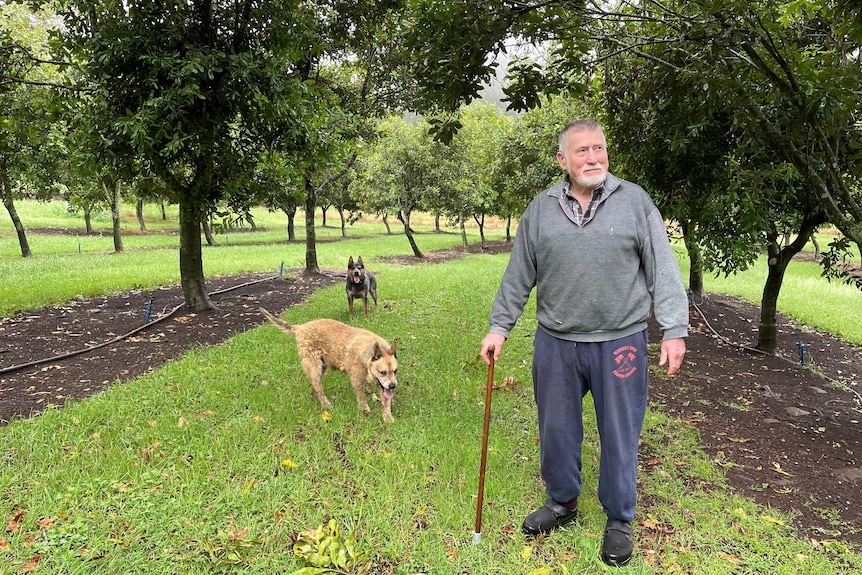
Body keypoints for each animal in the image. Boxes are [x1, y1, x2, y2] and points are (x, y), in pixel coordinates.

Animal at [260, 310, 402, 424]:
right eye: (383, 372)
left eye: (395, 371)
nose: (393, 386)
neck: (367, 355)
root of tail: (300, 327)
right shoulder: (356, 379)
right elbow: (361, 396)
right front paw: (364, 409)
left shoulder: (383, 386)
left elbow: (386, 401)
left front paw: (387, 416)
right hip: (314, 366)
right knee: (318, 387)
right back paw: (325, 404)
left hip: (322, 366)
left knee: (316, 385)